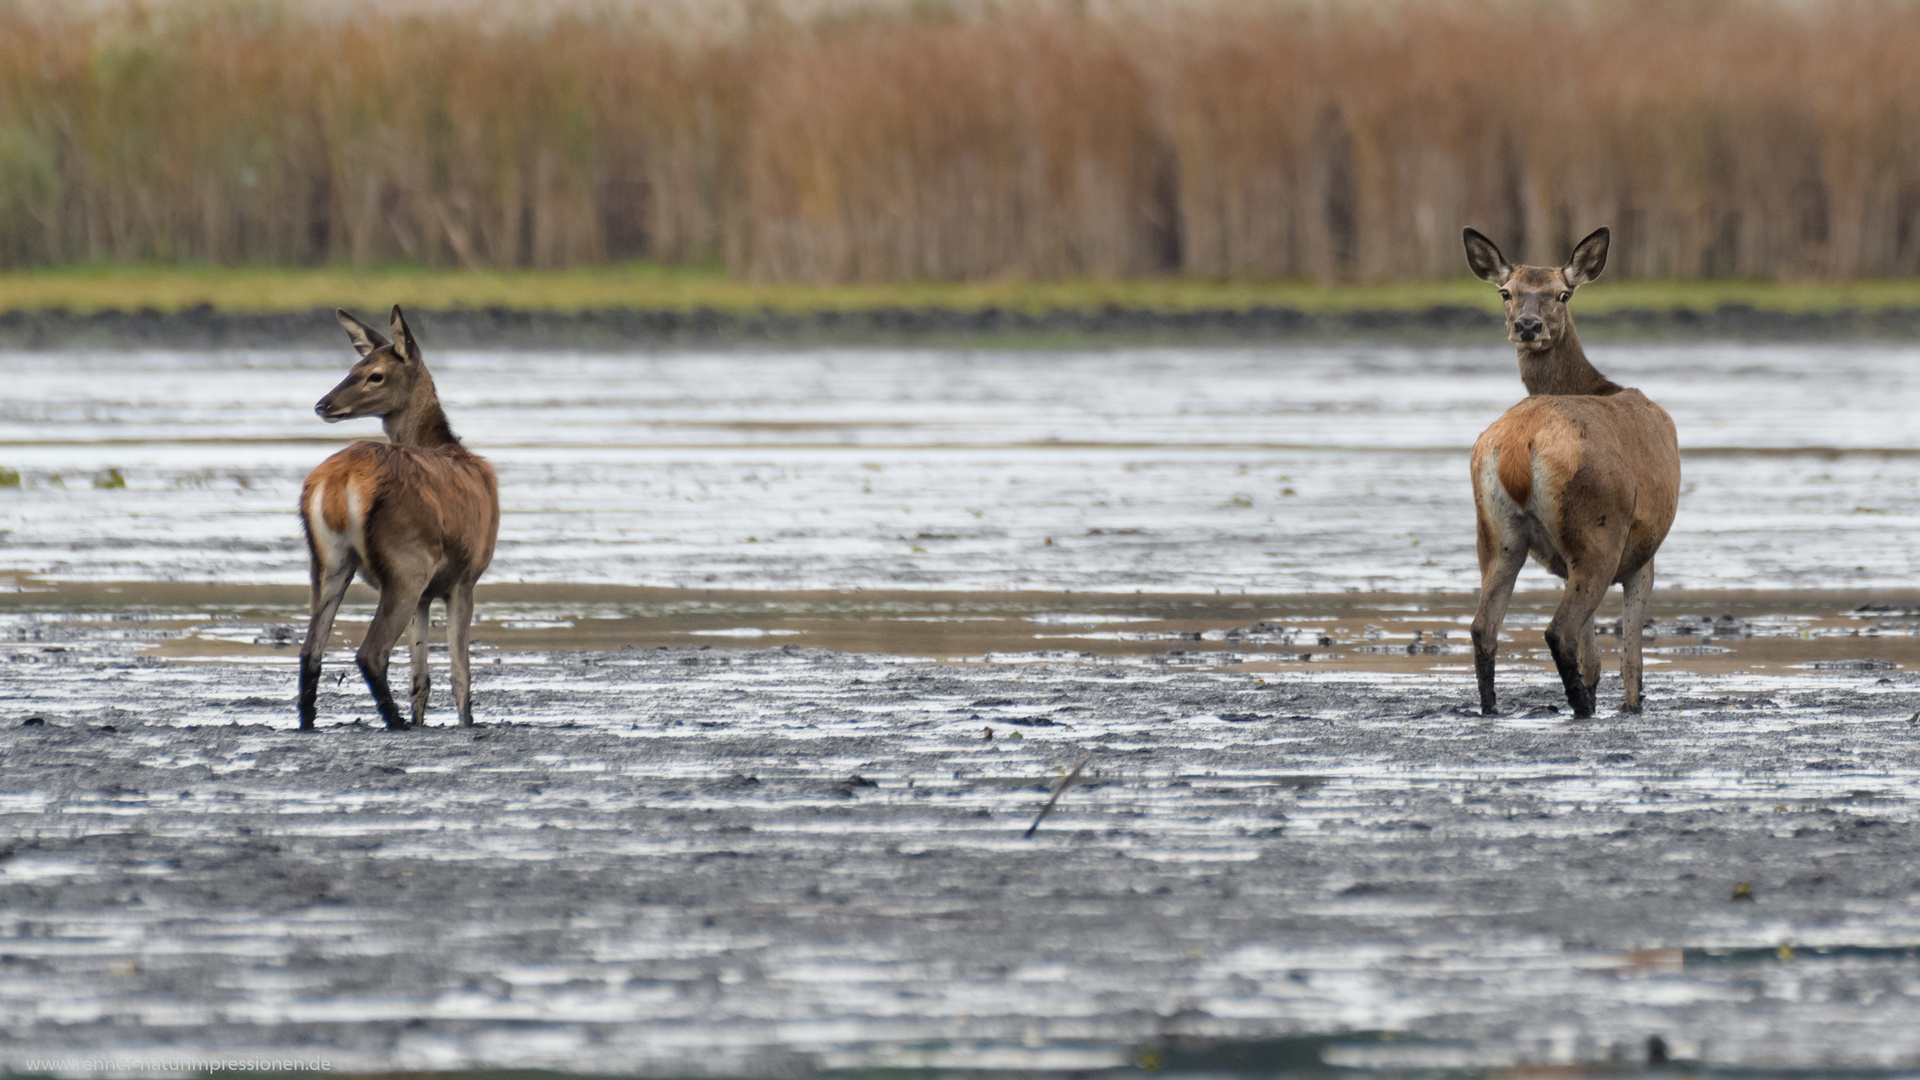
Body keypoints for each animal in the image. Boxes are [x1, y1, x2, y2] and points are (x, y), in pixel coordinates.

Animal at [293, 303, 499, 726]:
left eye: (373, 374)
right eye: (355, 368)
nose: (323, 404)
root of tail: (338, 481)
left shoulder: (427, 595)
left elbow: (421, 679)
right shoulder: (465, 577)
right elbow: (460, 674)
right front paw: (466, 724)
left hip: (328, 561)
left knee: (310, 650)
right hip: (407, 562)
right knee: (370, 652)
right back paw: (395, 723)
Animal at [1466, 226, 1681, 714]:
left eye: (1562, 294)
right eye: (1505, 292)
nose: (1528, 326)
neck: (1598, 385)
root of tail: (1517, 443)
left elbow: (1594, 658)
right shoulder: (1644, 554)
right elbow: (1629, 662)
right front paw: (1630, 707)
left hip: (1495, 533)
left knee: (1483, 627)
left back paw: (1492, 709)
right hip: (1597, 529)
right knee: (1558, 631)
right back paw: (1581, 710)